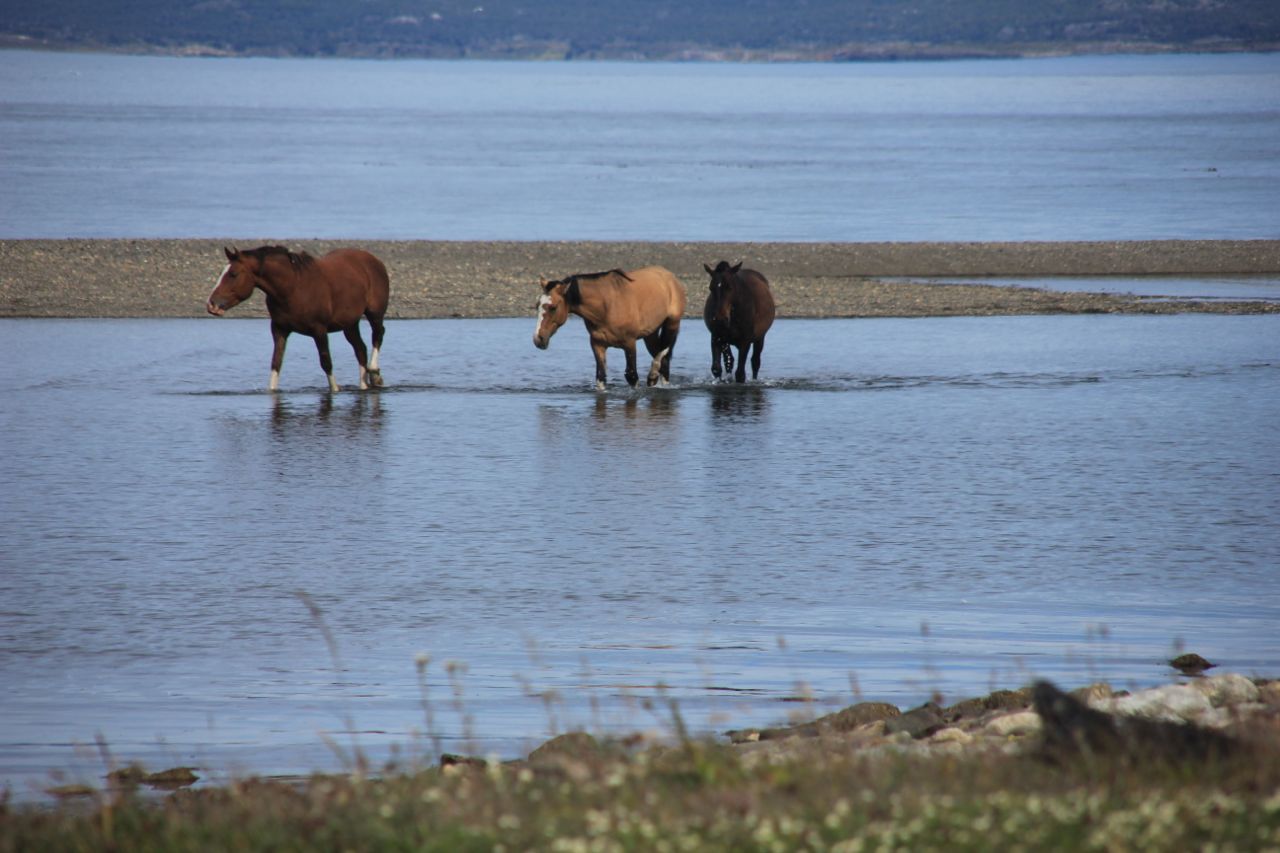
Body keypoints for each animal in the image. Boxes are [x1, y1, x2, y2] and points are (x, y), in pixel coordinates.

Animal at [206, 245, 389, 393]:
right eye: (222, 273)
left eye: (233, 274)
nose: (212, 304)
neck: (293, 288)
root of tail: (373, 260)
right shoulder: (279, 329)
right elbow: (276, 362)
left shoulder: (319, 329)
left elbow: (326, 361)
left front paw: (335, 389)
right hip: (349, 324)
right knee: (360, 349)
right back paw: (364, 385)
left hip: (374, 313)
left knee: (378, 335)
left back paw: (375, 374)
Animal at [533, 266, 687, 390]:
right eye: (537, 305)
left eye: (553, 307)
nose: (538, 339)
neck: (606, 307)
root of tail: (670, 277)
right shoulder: (597, 344)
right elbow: (601, 377)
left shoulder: (629, 344)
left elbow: (632, 375)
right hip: (650, 333)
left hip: (672, 324)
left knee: (664, 353)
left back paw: (653, 375)